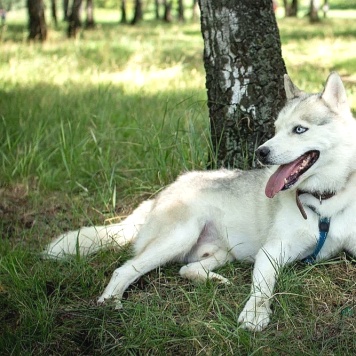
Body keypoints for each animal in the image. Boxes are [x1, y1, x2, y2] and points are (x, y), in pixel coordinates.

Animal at [43, 72, 356, 330]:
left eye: (299, 129)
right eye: (276, 129)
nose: (261, 152)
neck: (325, 201)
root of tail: (162, 193)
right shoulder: (272, 251)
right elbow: (262, 287)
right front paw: (255, 313)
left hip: (222, 252)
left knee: (186, 268)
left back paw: (214, 281)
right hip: (181, 235)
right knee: (124, 269)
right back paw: (110, 303)